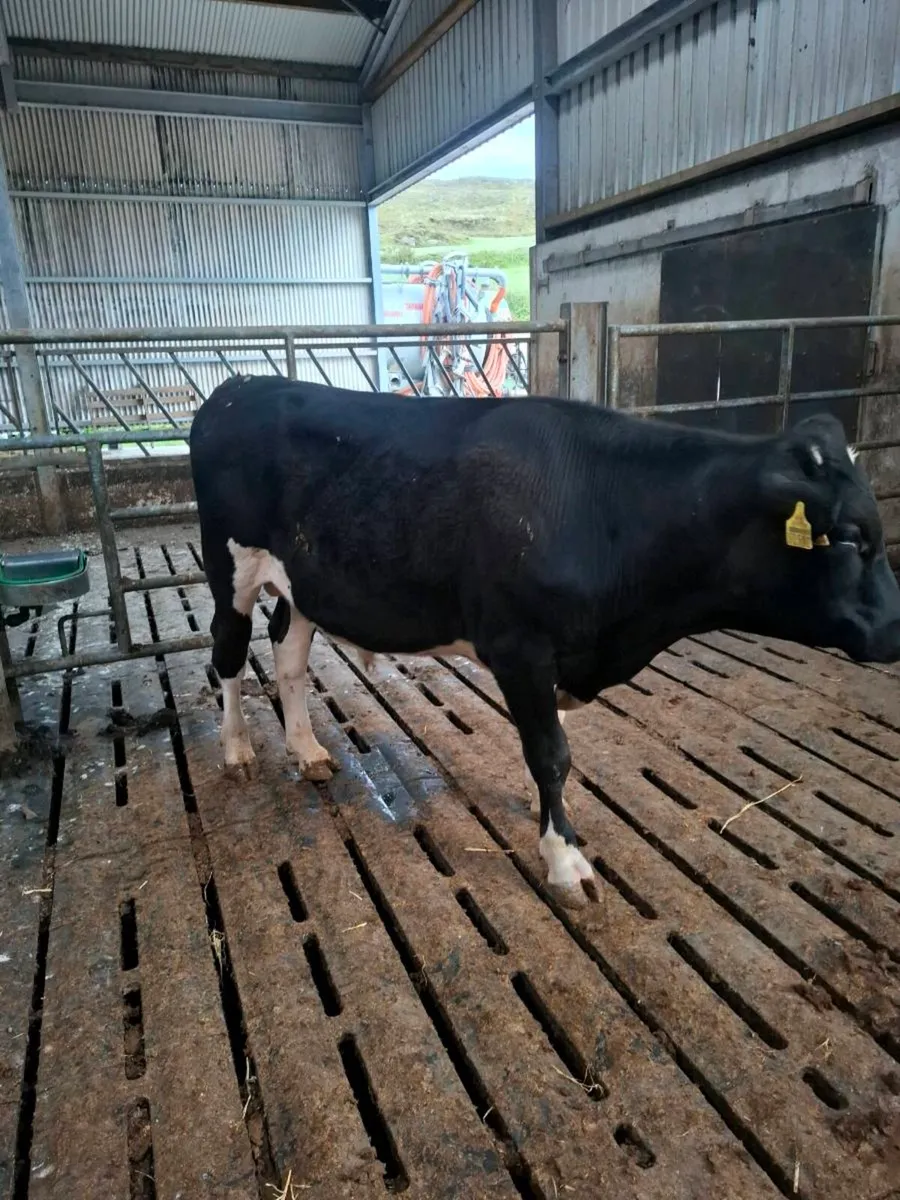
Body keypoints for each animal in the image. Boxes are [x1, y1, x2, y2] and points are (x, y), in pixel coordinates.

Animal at [189, 375, 900, 906]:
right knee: (228, 653)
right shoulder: (519, 645)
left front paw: (544, 811)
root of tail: (242, 385)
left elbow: (554, 746)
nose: (896, 631)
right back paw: (237, 749)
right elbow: (552, 752)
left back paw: (308, 749)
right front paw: (564, 858)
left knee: (287, 653)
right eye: (850, 537)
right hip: (230, 566)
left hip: (306, 582)